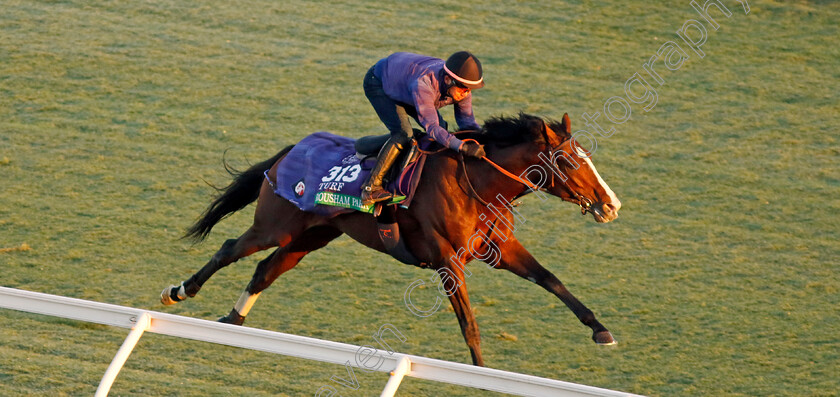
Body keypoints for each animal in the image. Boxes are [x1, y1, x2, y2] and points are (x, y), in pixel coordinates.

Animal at [162, 111, 616, 366]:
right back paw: (179, 292)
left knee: (265, 269)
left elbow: (551, 279)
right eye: (569, 160)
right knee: (231, 249)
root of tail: (291, 150)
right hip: (276, 226)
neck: (476, 185)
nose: (611, 204)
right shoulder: (447, 261)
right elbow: (469, 323)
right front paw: (481, 371)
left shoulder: (499, 249)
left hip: (313, 235)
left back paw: (233, 321)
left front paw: (601, 331)